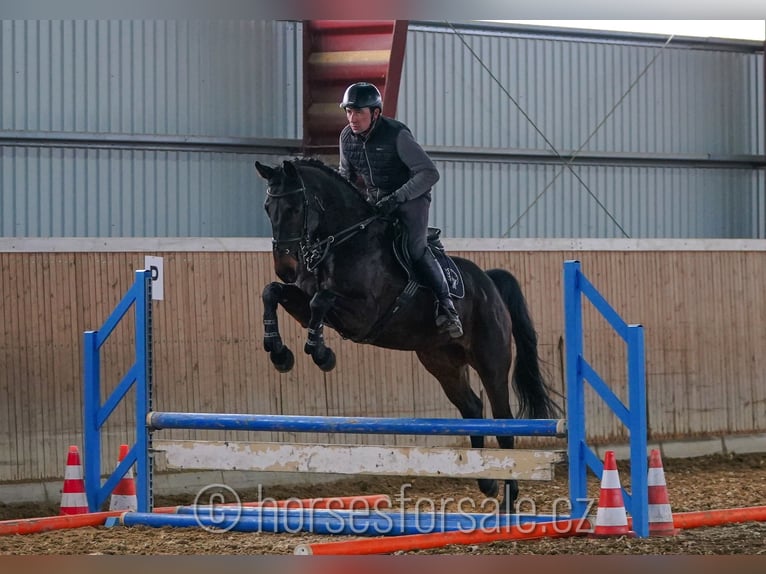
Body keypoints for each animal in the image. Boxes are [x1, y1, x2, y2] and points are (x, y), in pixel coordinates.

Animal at [255, 156, 560, 508]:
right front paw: (280, 353)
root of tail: (490, 283)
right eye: (268, 207)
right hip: (441, 361)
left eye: (294, 208)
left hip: (491, 361)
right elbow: (272, 292)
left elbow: (322, 299)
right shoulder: (304, 304)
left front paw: (321, 353)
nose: (286, 267)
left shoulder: (363, 314)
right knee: (472, 408)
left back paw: (508, 498)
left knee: (503, 420)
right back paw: (485, 481)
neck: (342, 241)